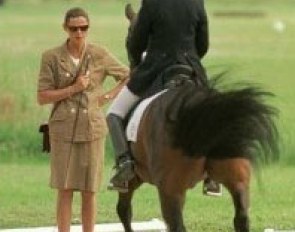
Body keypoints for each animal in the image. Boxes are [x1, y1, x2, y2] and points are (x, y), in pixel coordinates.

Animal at [115, 4, 280, 232]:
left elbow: (124, 211)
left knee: (172, 224)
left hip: (170, 189)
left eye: (128, 37)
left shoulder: (135, 178)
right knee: (241, 218)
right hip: (237, 179)